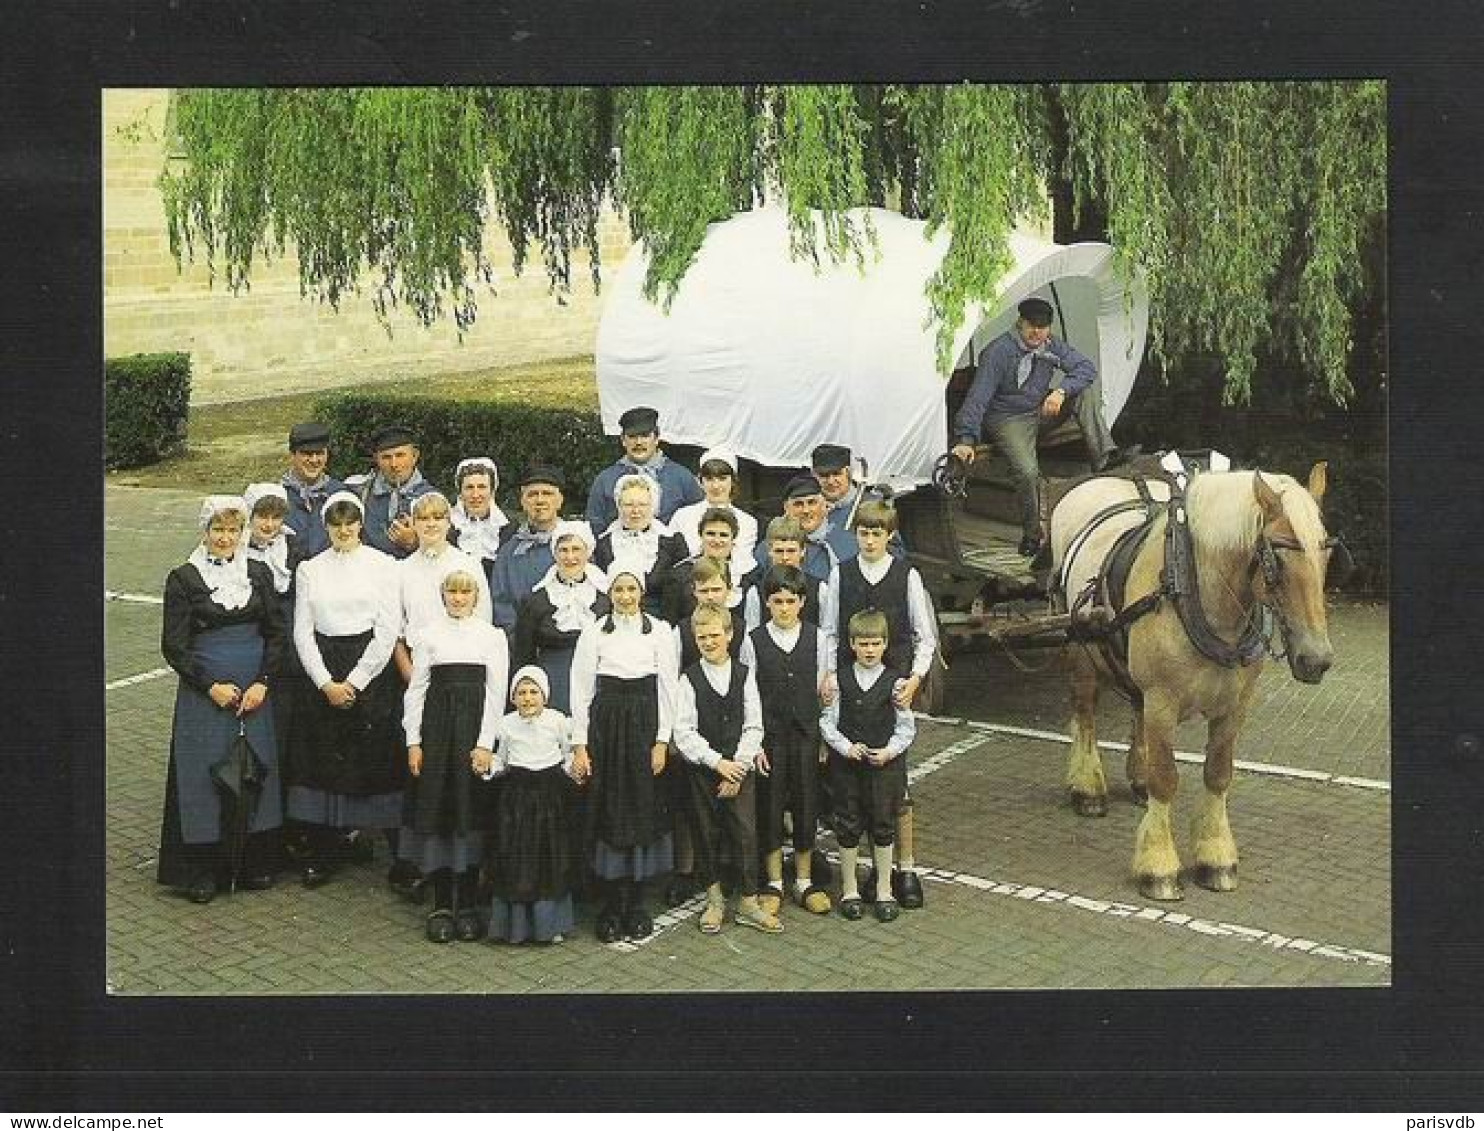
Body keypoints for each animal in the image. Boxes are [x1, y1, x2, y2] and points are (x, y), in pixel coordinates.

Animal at [1044, 457, 1347, 896]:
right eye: (1277, 558)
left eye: (1326, 553)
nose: (1316, 659)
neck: (1193, 590)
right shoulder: (1162, 699)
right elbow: (1166, 779)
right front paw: (1158, 865)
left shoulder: (1235, 706)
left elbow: (1218, 774)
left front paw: (1216, 856)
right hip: (1082, 650)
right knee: (1084, 714)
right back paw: (1087, 788)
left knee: (1135, 713)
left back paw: (1136, 780)